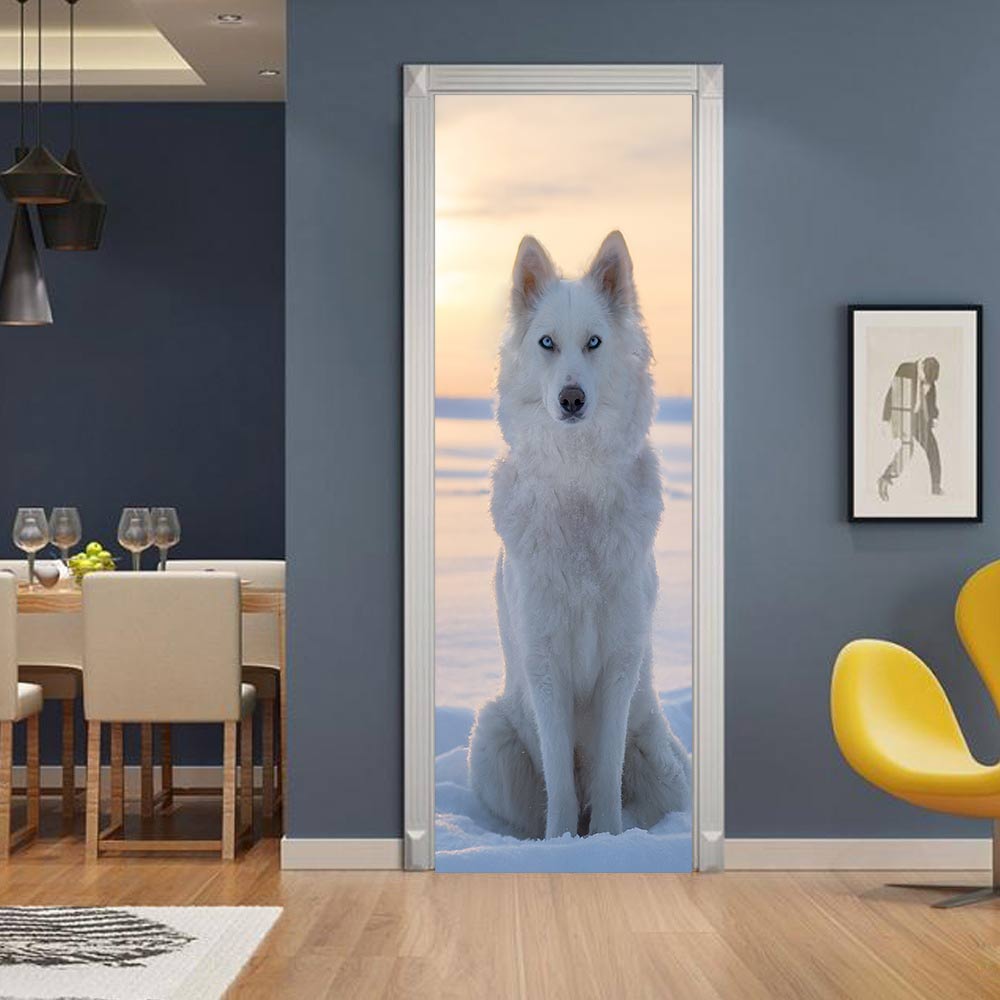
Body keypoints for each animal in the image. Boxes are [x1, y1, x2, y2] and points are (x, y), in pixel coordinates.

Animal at [468, 230, 691, 840]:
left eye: (594, 342)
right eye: (547, 343)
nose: (571, 399)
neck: (578, 486)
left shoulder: (620, 661)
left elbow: (608, 773)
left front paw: (608, 843)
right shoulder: (545, 663)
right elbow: (562, 784)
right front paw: (562, 844)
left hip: (663, 762)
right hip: (492, 739)